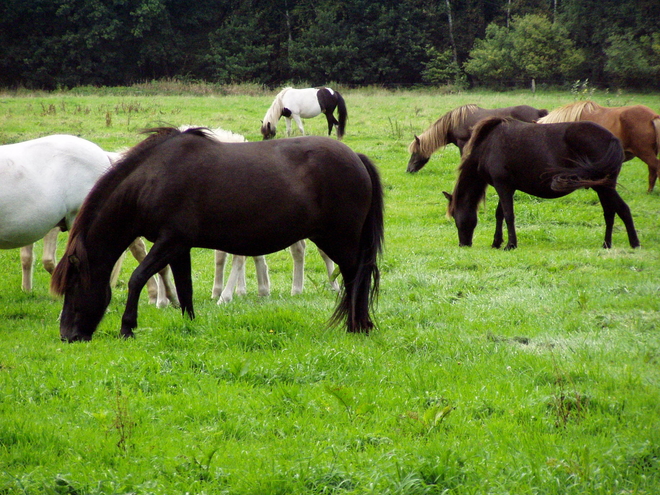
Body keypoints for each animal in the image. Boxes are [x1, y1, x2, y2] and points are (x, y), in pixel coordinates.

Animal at [444, 117, 640, 252]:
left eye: (455, 216)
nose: (463, 244)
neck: (488, 145)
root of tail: (613, 139)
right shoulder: (507, 186)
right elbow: (500, 214)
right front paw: (496, 242)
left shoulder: (502, 185)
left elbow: (508, 215)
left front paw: (510, 244)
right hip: (601, 186)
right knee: (610, 212)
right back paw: (607, 244)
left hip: (605, 186)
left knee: (622, 209)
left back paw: (635, 243)